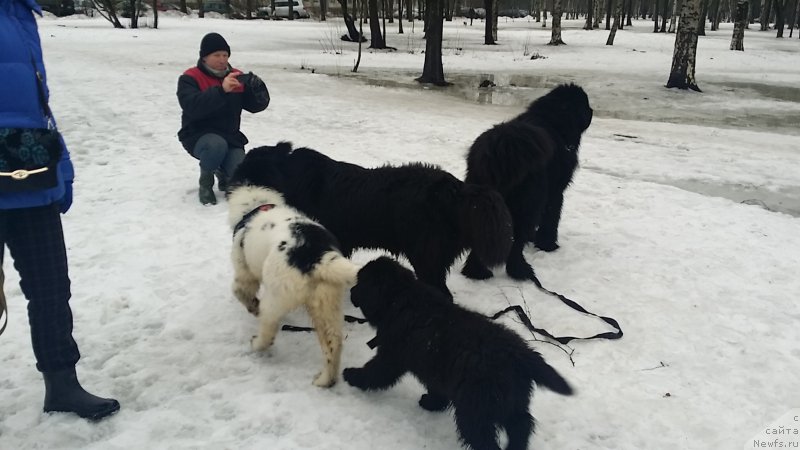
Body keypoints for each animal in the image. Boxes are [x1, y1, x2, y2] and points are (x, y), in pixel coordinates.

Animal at [228, 185, 360, 388]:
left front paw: (253, 307)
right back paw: (325, 380)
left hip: (276, 296)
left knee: (269, 327)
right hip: (326, 303)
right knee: (334, 342)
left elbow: (240, 291)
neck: (257, 207)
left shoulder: (245, 272)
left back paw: (257, 342)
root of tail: (317, 256)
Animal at [346, 256, 576, 450]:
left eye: (360, 282)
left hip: (475, 409)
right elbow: (436, 388)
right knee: (522, 424)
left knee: (485, 439)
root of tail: (519, 354)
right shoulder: (436, 369)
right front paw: (432, 403)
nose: (350, 292)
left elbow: (375, 371)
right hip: (510, 400)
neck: (401, 297)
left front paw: (352, 375)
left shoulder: (391, 355)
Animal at [460, 84, 592, 282]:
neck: (553, 122)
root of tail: (501, 148)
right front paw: (547, 245)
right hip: (527, 203)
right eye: (585, 105)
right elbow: (551, 218)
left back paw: (477, 273)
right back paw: (521, 271)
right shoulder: (554, 193)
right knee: (516, 241)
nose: (592, 111)